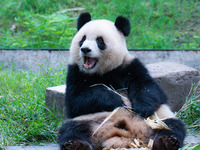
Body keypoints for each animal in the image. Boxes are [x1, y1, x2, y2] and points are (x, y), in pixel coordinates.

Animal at [58, 12, 186, 150]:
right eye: (83, 39)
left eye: (99, 40)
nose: (85, 49)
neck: (103, 71)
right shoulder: (75, 72)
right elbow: (76, 99)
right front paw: (116, 100)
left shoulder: (129, 66)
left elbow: (149, 88)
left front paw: (142, 108)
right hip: (86, 120)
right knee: (70, 130)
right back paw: (75, 145)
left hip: (159, 118)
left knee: (172, 126)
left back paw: (167, 142)